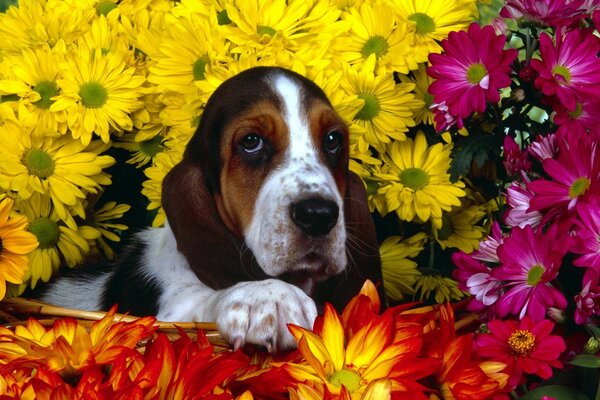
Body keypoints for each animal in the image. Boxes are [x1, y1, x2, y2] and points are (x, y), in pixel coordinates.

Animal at [38, 67, 384, 352]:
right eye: (251, 142)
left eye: (333, 139)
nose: (318, 215)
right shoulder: (171, 307)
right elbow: (196, 303)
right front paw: (266, 296)